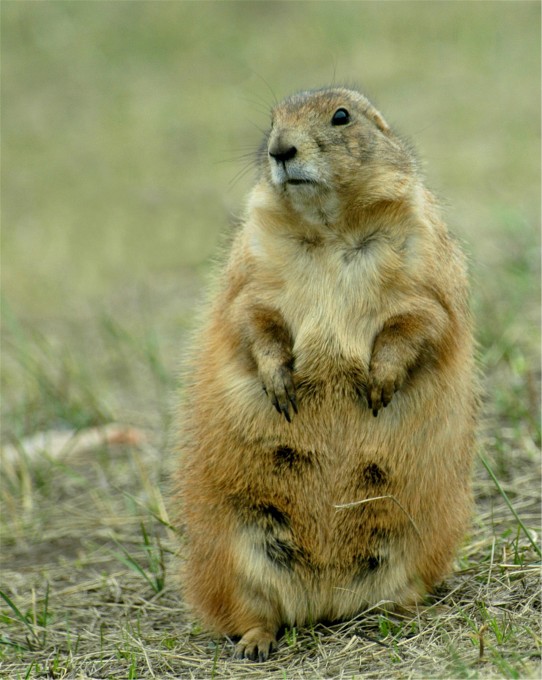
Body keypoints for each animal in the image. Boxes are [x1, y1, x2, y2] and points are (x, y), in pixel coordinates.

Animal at [171, 87, 477, 661]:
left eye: (341, 116)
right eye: (273, 121)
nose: (280, 150)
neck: (331, 229)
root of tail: (325, 603)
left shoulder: (424, 259)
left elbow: (421, 319)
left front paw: (378, 383)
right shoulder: (252, 265)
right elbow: (251, 316)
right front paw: (280, 383)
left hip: (417, 539)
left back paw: (399, 617)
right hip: (234, 550)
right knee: (253, 612)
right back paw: (255, 643)